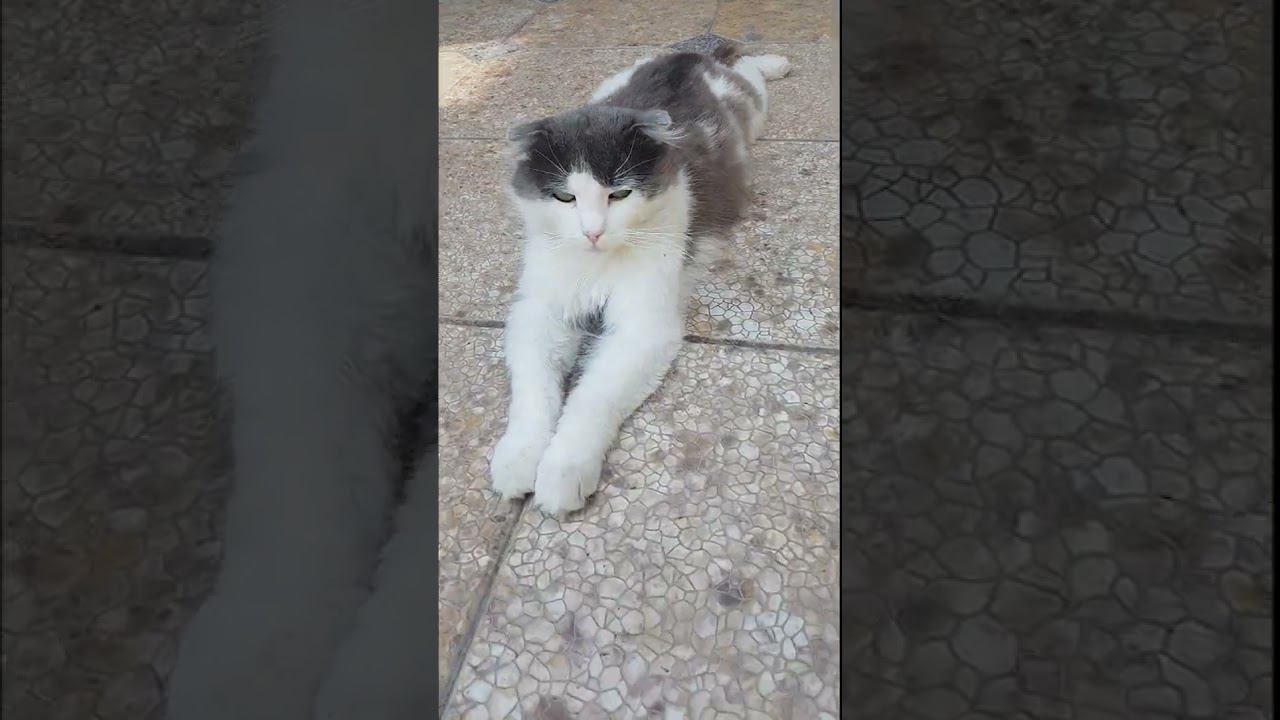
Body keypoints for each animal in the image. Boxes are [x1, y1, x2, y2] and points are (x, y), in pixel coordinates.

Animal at [491, 44, 792, 515]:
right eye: (565, 197)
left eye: (619, 194)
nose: (592, 232)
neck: (597, 264)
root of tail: (687, 55)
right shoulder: (539, 314)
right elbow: (533, 395)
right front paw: (519, 456)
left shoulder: (643, 328)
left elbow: (592, 396)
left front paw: (563, 469)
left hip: (753, 103)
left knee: (750, 68)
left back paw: (777, 63)